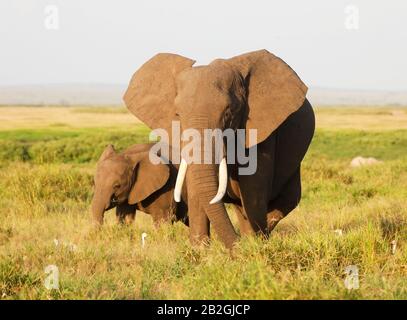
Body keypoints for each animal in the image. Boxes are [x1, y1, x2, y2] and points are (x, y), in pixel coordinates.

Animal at [122, 50, 314, 250]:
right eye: (178, 115)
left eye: (229, 112)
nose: (236, 247)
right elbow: (196, 185)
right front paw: (199, 250)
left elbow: (254, 190)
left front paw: (254, 246)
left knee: (286, 201)